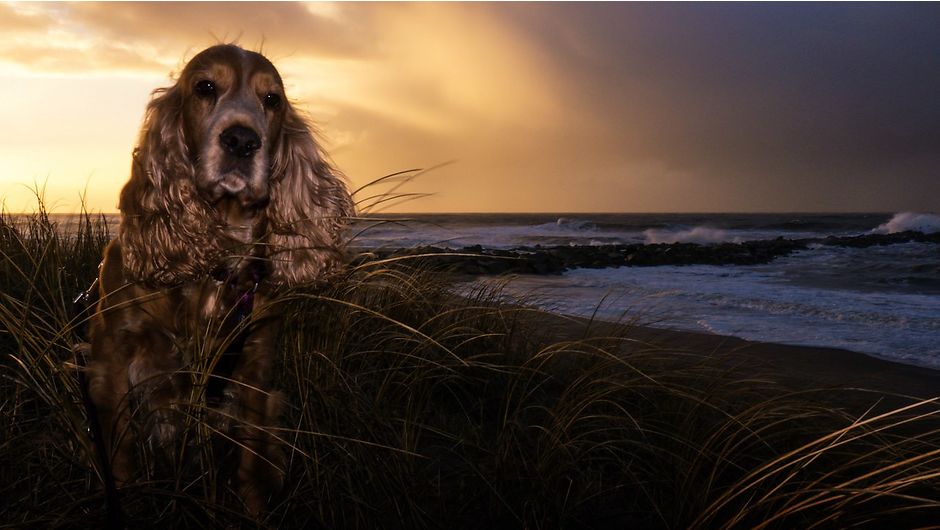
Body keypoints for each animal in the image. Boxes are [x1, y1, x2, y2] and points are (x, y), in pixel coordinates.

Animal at [84, 45, 354, 512]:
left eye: (272, 99)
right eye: (205, 87)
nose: (242, 140)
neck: (218, 254)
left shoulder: (255, 364)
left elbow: (249, 464)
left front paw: (256, 511)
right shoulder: (114, 356)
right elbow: (121, 455)